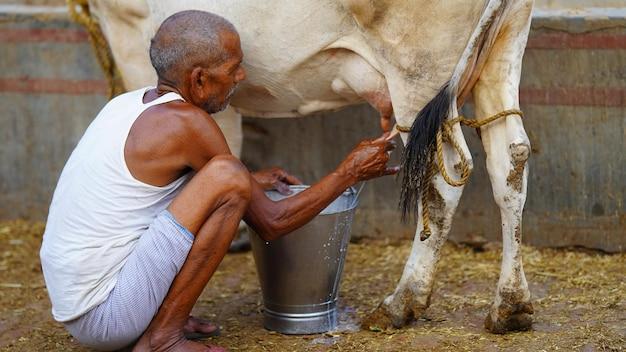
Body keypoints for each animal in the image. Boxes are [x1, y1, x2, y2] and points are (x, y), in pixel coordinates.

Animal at [85, 0, 532, 332]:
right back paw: (511, 306)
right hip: (501, 47)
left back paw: (402, 301)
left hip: (419, 67)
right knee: (511, 157)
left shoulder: (130, 33)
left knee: (443, 175)